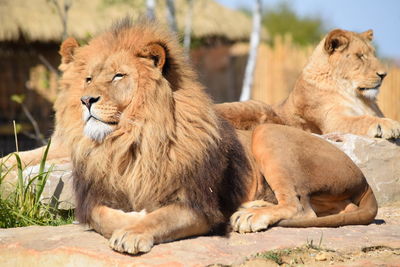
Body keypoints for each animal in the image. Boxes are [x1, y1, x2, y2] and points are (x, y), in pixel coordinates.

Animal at [3, 21, 378, 255]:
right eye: (88, 78)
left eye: (119, 76)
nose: (85, 101)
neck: (130, 141)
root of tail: (364, 178)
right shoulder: (94, 197)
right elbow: (103, 216)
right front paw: (130, 219)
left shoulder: (200, 205)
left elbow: (162, 216)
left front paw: (136, 230)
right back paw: (254, 206)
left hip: (268, 134)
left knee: (303, 209)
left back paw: (250, 217)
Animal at [217, 28, 400, 139]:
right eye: (360, 56)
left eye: (374, 54)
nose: (384, 75)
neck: (358, 96)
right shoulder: (333, 122)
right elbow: (362, 119)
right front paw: (388, 125)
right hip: (256, 106)